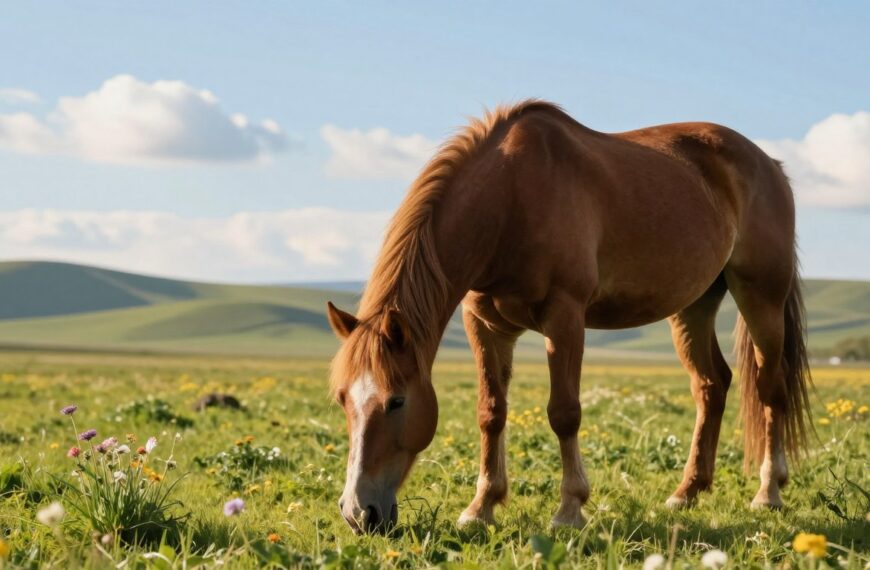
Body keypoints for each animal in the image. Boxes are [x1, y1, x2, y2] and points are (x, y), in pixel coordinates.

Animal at [326, 100, 812, 534]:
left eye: (396, 401)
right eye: (343, 399)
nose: (358, 512)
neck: (510, 199)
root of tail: (770, 164)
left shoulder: (564, 317)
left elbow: (564, 413)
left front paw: (569, 510)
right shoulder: (485, 325)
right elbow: (491, 412)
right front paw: (481, 507)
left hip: (761, 296)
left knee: (770, 388)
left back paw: (768, 492)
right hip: (693, 306)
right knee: (711, 385)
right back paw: (686, 492)